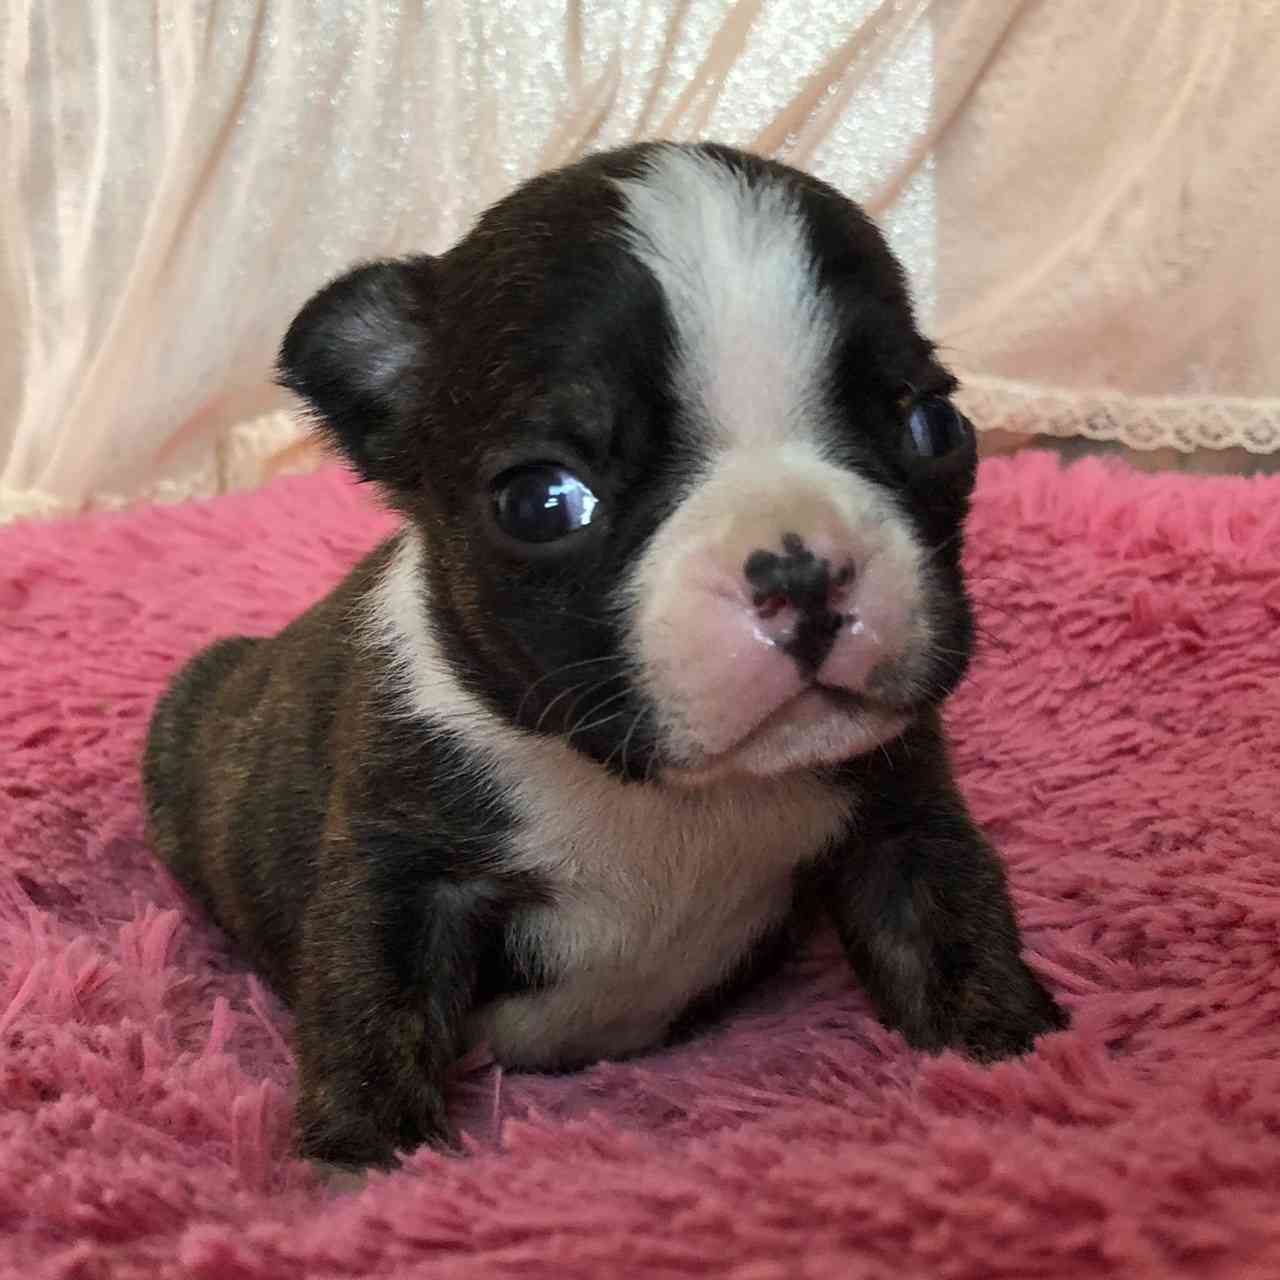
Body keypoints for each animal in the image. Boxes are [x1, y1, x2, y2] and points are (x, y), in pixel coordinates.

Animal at [142, 137, 1070, 1172]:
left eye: (932, 426)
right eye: (542, 501)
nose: (802, 567)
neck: (659, 790)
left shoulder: (899, 820)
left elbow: (952, 930)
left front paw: (1018, 1057)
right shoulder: (402, 871)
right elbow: (372, 1008)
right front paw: (372, 1161)